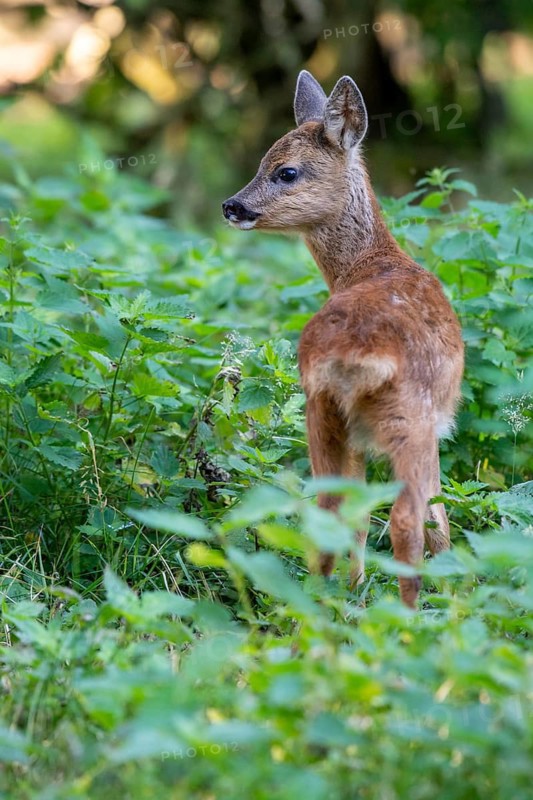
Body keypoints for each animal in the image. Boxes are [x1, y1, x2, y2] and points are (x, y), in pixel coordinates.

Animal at [222, 71, 464, 607]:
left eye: (285, 171)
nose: (232, 205)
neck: (370, 264)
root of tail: (355, 353)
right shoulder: (439, 423)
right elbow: (440, 518)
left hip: (321, 409)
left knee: (331, 513)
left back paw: (326, 604)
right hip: (408, 418)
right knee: (407, 519)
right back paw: (408, 614)